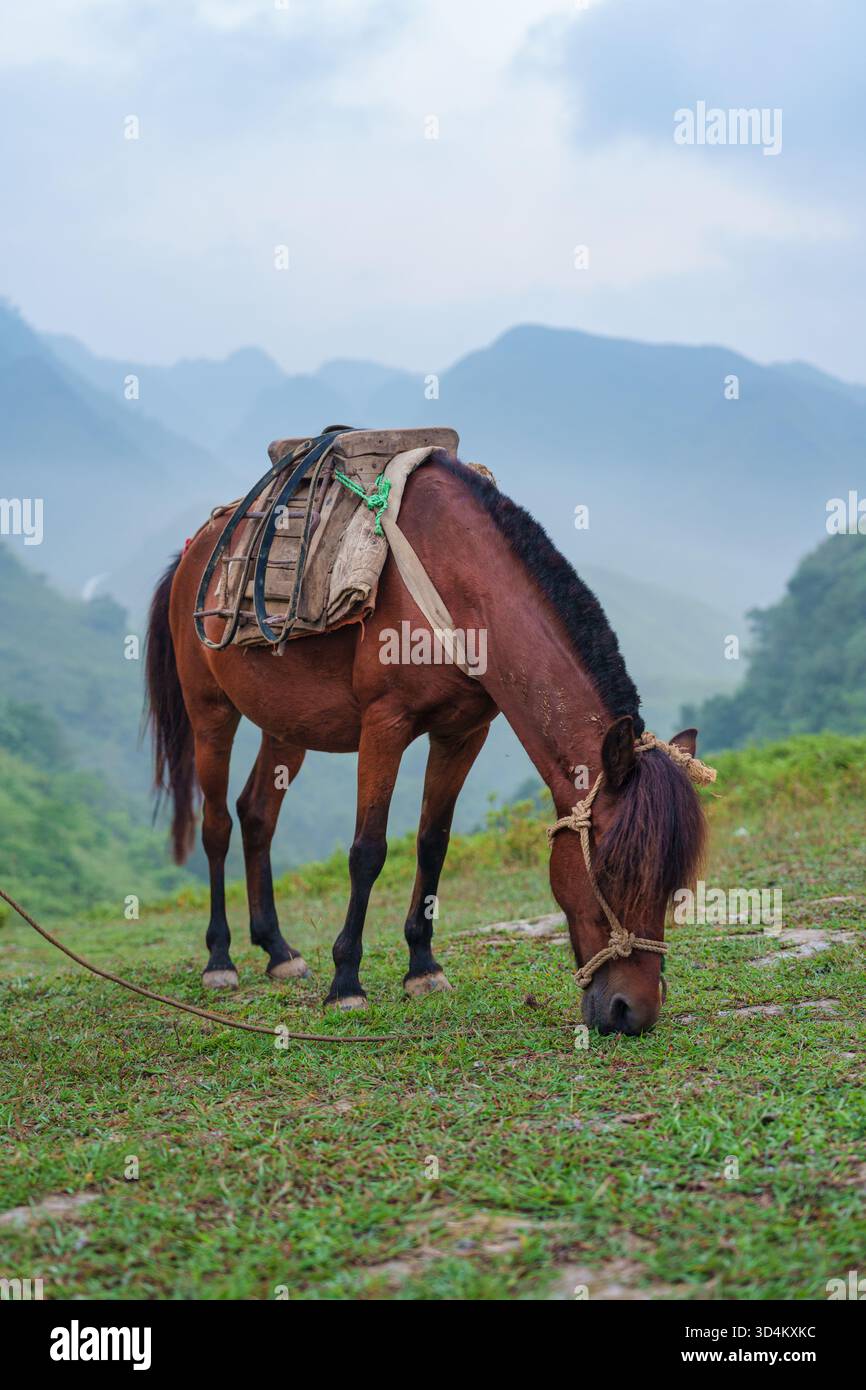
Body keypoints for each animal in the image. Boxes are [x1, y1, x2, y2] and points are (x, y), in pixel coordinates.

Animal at [145, 450, 706, 1035]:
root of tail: (192, 555)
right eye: (612, 871)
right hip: (209, 710)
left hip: (286, 722)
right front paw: (346, 983)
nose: (632, 1012)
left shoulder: (463, 732)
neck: (462, 589)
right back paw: (220, 959)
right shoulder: (384, 724)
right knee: (216, 826)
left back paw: (278, 950)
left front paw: (422, 967)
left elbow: (432, 843)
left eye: (674, 881)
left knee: (256, 814)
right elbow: (367, 851)